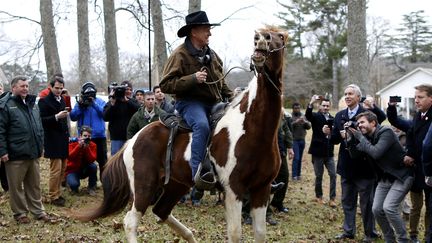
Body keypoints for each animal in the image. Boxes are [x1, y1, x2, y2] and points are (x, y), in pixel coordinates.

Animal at [77, 26, 286, 243]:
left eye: (281, 36)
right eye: (258, 36)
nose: (260, 39)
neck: (253, 129)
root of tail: (133, 140)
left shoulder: (261, 189)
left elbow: (260, 233)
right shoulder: (233, 189)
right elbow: (235, 233)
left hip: (175, 184)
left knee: (161, 210)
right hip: (144, 186)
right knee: (131, 221)